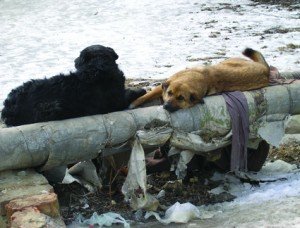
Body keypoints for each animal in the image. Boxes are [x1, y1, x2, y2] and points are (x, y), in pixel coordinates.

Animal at [0, 44, 146, 126]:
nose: (74, 60)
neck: (97, 68)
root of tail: (8, 106)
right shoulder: (116, 101)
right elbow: (128, 94)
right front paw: (141, 90)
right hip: (51, 107)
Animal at [129, 48, 270, 112]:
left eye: (181, 98)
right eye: (169, 93)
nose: (166, 106)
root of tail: (265, 70)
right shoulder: (163, 86)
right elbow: (147, 95)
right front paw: (134, 102)